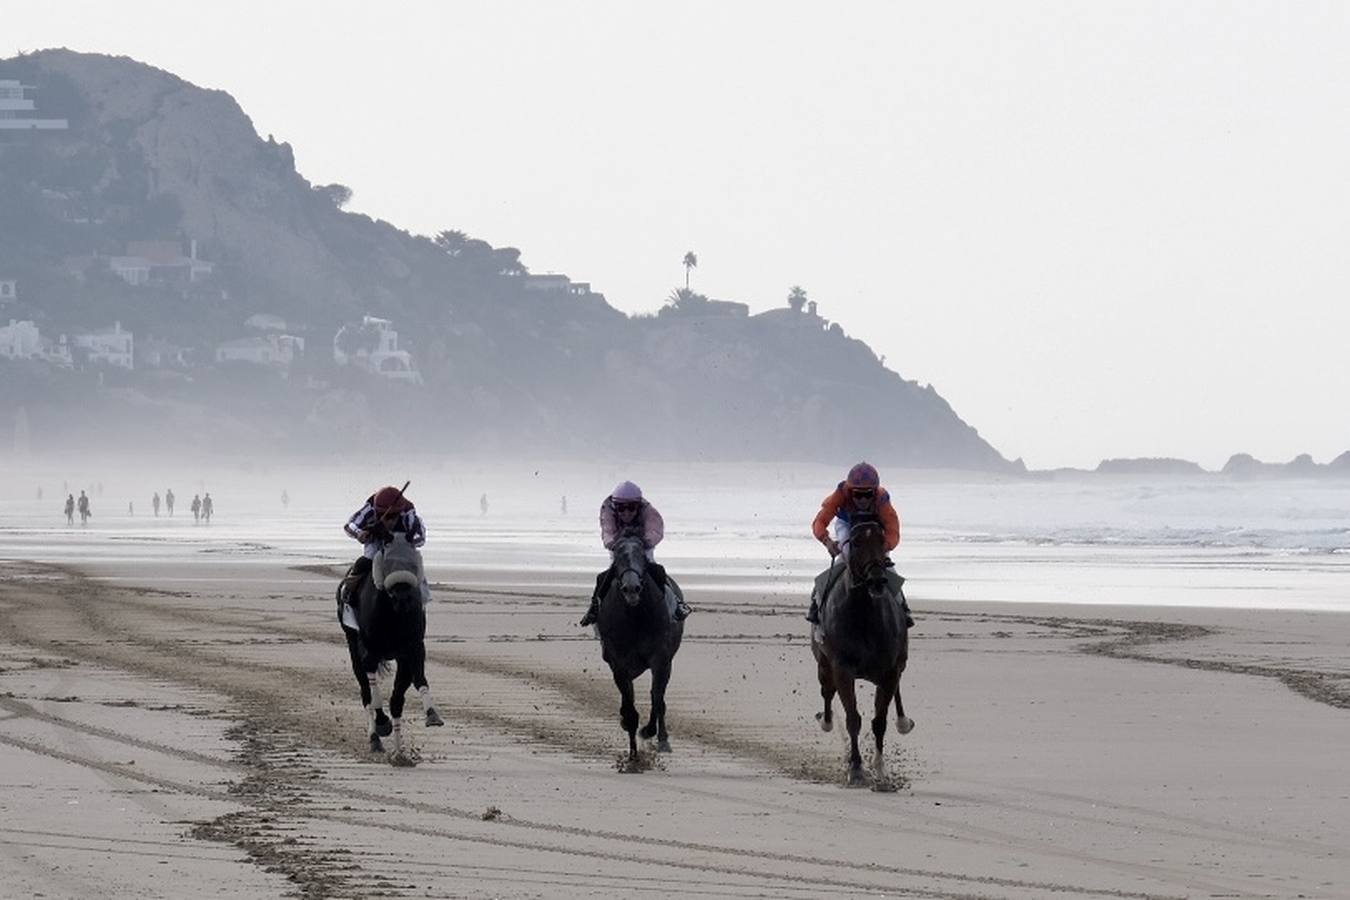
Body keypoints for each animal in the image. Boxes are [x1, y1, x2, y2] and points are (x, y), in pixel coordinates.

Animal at [337, 534, 442, 766]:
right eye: (386, 553)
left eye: (412, 560)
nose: (402, 597)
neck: (393, 616)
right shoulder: (369, 651)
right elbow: (374, 694)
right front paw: (382, 724)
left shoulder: (412, 649)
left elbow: (405, 693)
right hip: (352, 645)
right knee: (365, 693)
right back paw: (375, 739)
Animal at [599, 534, 685, 766]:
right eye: (618, 556)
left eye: (642, 557)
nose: (631, 588)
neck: (636, 618)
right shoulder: (619, 664)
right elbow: (630, 708)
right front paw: (633, 753)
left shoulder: (661, 660)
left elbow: (657, 698)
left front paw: (655, 735)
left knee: (657, 697)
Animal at [810, 518, 918, 782]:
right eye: (857, 543)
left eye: (882, 540)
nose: (877, 580)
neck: (865, 616)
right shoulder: (842, 669)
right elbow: (853, 718)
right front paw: (856, 767)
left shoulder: (890, 670)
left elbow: (879, 721)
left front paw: (880, 769)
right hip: (823, 665)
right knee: (826, 693)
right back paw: (826, 722)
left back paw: (904, 722)